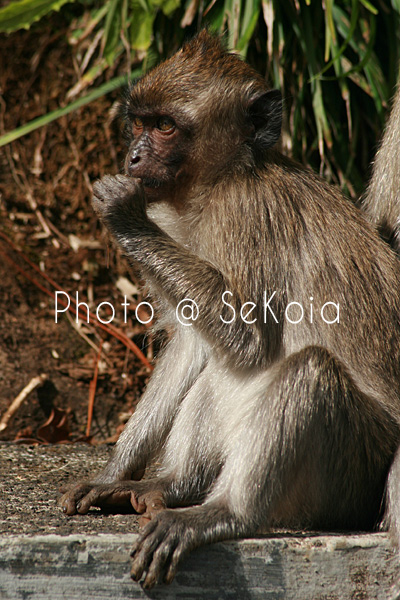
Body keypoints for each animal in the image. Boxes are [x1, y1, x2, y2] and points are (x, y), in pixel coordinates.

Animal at [58, 30, 400, 588]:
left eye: (165, 126)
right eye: (140, 121)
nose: (132, 156)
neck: (222, 179)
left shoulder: (244, 218)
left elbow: (248, 338)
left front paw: (124, 215)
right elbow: (196, 344)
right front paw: (113, 473)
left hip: (354, 472)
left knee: (308, 371)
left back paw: (223, 513)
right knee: (222, 368)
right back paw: (173, 485)